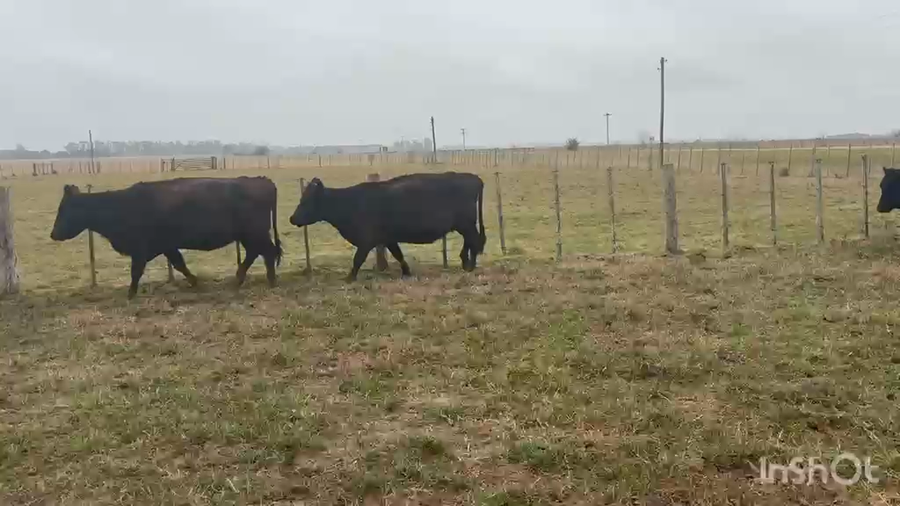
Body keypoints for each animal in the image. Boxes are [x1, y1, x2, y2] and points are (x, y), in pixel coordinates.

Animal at [50, 176, 283, 299]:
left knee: (267, 252)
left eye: (63, 209)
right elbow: (179, 264)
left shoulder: (141, 248)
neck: (121, 206)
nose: (53, 234)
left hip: (255, 233)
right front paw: (195, 282)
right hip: (249, 235)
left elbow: (136, 271)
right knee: (257, 253)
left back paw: (270, 281)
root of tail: (262, 181)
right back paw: (240, 278)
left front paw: (131, 293)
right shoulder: (167, 246)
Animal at [289, 172, 486, 281]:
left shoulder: (366, 240)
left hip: (466, 224)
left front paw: (350, 278)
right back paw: (466, 262)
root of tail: (473, 178)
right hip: (465, 224)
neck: (350, 203)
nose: (292, 218)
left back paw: (470, 265)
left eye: (305, 201)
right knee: (470, 241)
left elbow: (357, 259)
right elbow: (398, 255)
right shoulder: (388, 238)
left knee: (474, 241)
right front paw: (406, 272)